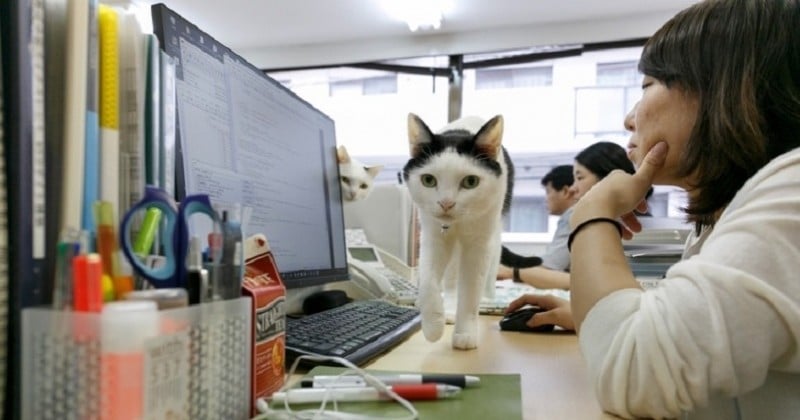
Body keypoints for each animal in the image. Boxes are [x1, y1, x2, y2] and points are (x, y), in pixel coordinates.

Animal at [404, 113, 540, 350]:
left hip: (495, 229)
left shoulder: (479, 243)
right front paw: (433, 326)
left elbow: (470, 290)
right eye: (428, 180)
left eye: (471, 182)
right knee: (450, 278)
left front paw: (465, 333)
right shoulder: (433, 235)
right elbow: (429, 281)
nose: (446, 203)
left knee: (492, 264)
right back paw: (448, 309)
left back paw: (487, 298)